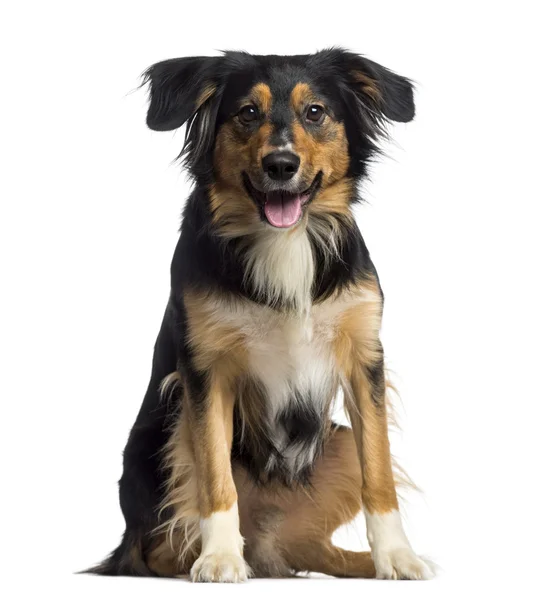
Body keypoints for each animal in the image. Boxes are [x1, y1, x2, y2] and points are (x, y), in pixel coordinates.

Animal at [89, 49, 436, 584]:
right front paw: (219, 557)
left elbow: (379, 470)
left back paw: (352, 562)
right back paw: (219, 556)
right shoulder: (205, 371)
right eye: (247, 113)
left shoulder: (364, 359)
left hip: (335, 443)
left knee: (309, 548)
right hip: (158, 439)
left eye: (315, 112)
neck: (285, 241)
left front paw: (396, 556)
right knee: (159, 549)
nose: (281, 164)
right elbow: (214, 476)